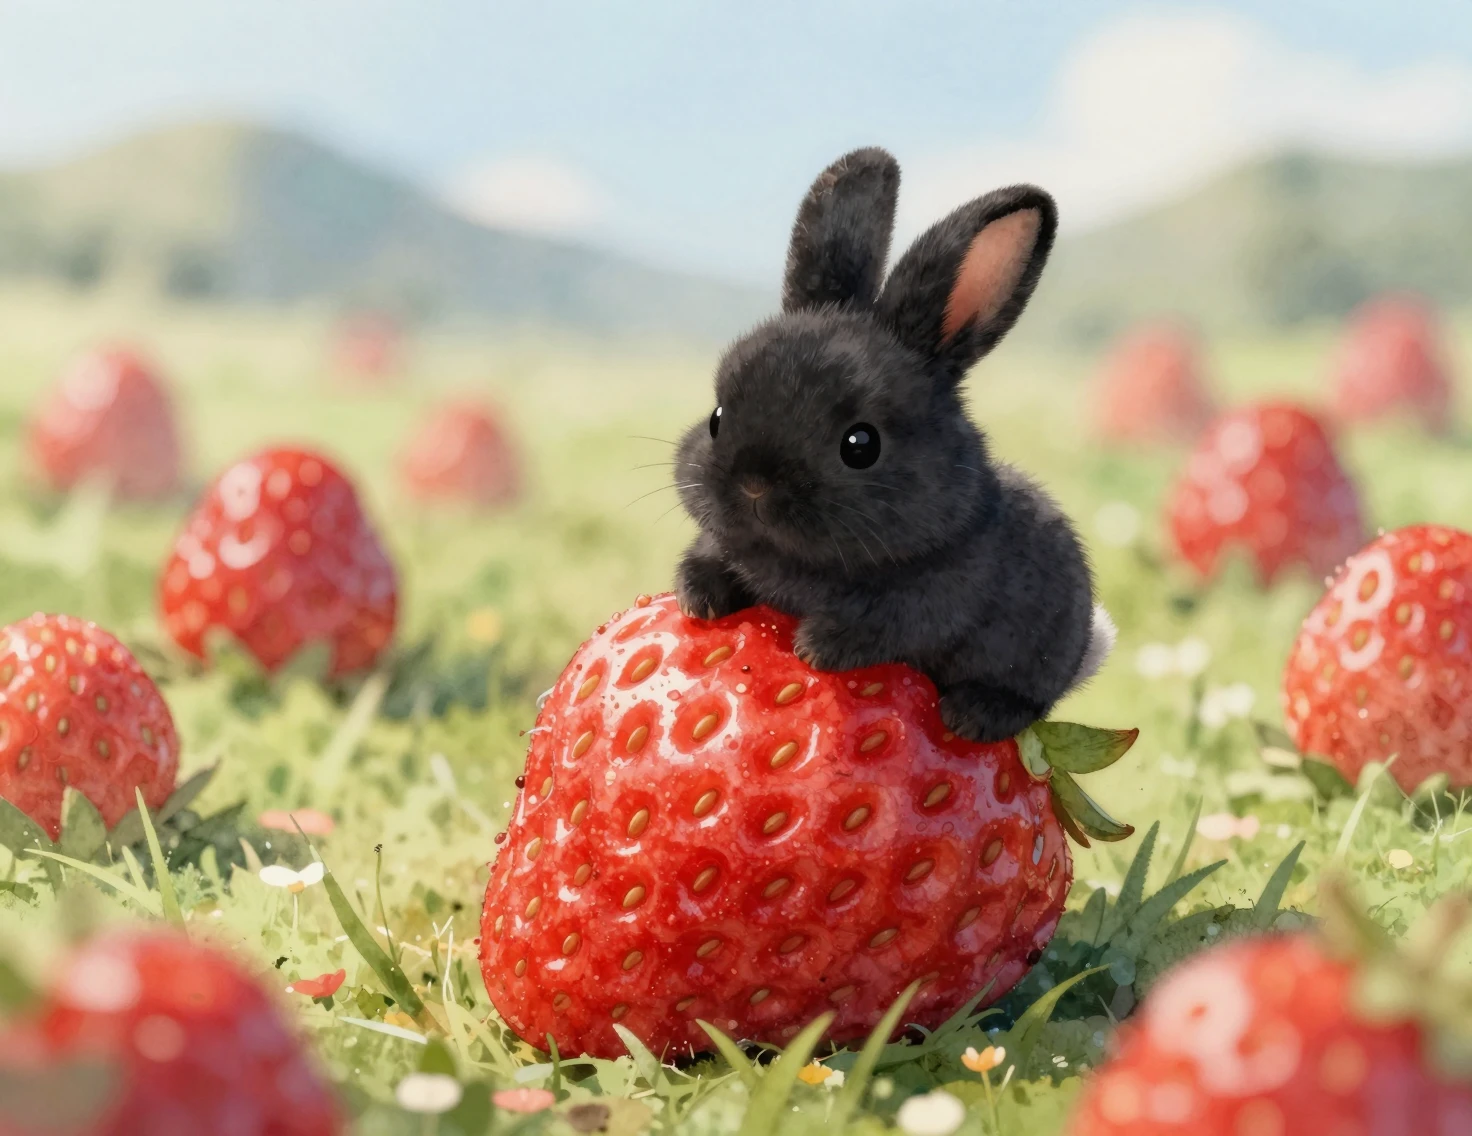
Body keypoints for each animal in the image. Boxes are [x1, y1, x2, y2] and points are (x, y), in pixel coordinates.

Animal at [673, 146, 1113, 743]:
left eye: (860, 445)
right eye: (718, 417)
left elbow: (887, 625)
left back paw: (973, 716)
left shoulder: (932, 599)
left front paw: (815, 647)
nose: (755, 486)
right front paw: (697, 599)